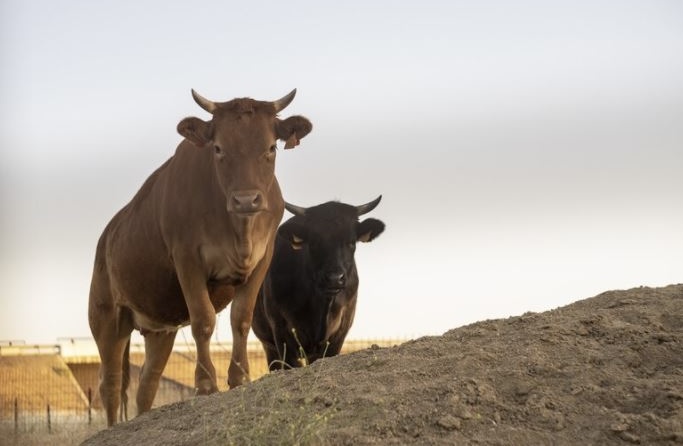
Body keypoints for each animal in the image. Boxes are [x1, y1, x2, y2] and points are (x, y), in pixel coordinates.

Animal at [87, 88, 312, 426]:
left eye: (271, 147)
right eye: (218, 148)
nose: (246, 200)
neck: (238, 230)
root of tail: (106, 236)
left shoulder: (262, 260)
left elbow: (241, 319)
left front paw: (239, 377)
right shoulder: (187, 260)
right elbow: (203, 320)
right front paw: (206, 385)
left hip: (159, 330)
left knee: (146, 385)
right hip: (107, 317)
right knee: (110, 383)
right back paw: (114, 428)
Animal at [254, 196, 388, 370]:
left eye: (351, 242)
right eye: (314, 242)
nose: (334, 278)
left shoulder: (339, 334)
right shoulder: (281, 331)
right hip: (268, 344)